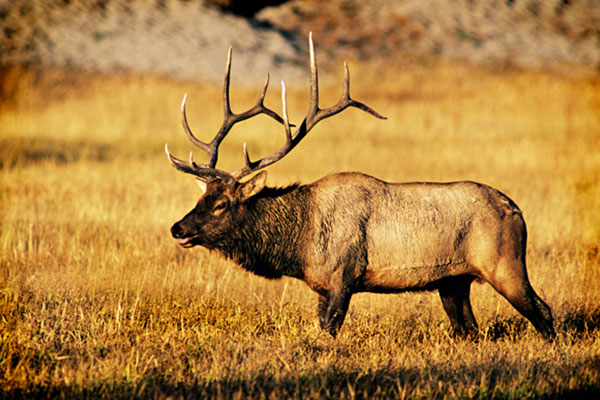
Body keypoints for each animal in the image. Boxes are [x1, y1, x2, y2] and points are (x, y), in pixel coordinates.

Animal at [164, 33, 552, 340]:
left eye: (222, 204)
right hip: (453, 281)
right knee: (468, 329)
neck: (299, 243)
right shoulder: (322, 286)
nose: (177, 228)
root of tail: (516, 210)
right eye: (202, 195)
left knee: (543, 311)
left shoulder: (343, 277)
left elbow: (330, 330)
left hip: (504, 263)